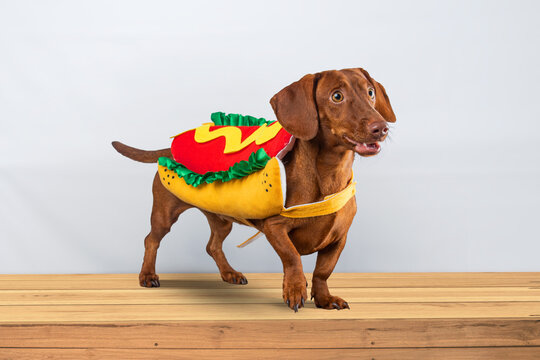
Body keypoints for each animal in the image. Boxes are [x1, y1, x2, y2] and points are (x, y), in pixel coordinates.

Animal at [112, 68, 394, 312]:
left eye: (370, 92)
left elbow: (323, 271)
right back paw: (147, 275)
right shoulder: (274, 228)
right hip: (165, 213)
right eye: (337, 96)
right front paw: (294, 290)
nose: (381, 128)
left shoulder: (338, 238)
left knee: (213, 246)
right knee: (151, 240)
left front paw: (324, 299)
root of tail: (169, 151)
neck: (329, 176)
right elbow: (293, 258)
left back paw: (229, 273)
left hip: (222, 219)